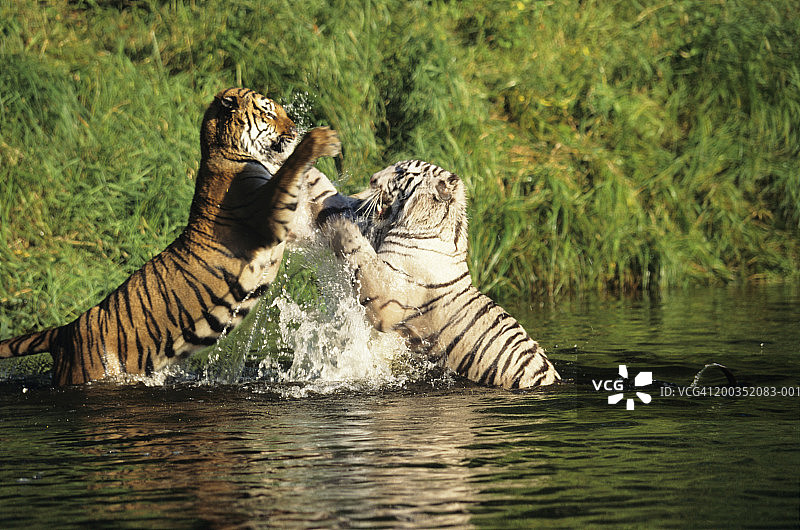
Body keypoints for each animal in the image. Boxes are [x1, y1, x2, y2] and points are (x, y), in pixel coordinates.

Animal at [0, 87, 341, 386]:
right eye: (268, 112)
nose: (294, 129)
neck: (223, 149)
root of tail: (65, 331)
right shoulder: (266, 215)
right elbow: (290, 171)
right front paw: (321, 139)